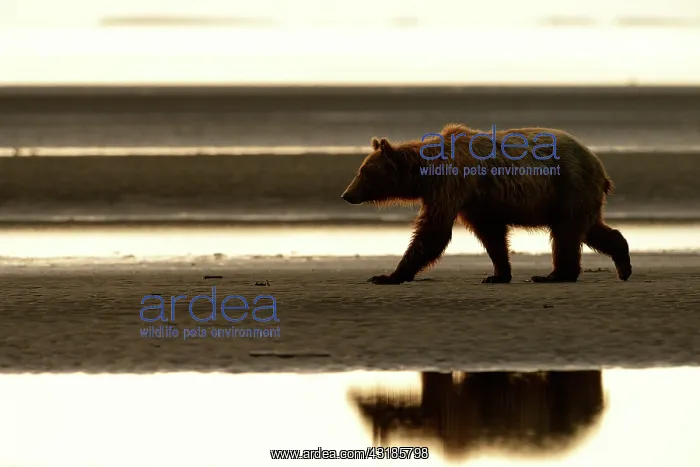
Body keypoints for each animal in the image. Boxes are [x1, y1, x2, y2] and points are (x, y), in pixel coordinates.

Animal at [340, 123, 632, 285]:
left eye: (364, 172)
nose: (346, 194)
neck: (425, 172)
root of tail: (599, 165)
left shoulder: (452, 183)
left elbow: (434, 231)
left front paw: (386, 276)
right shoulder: (476, 201)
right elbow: (491, 235)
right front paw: (497, 274)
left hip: (568, 184)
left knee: (566, 233)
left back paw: (554, 275)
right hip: (575, 193)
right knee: (591, 229)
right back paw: (623, 264)